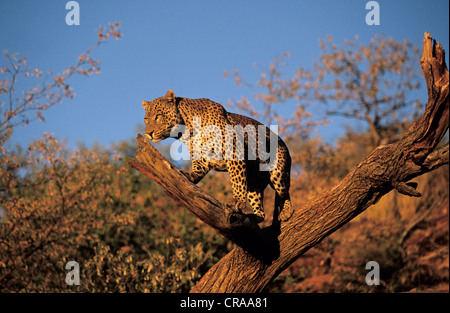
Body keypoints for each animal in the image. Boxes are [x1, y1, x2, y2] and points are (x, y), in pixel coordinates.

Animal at [142, 89, 294, 223]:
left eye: (158, 116)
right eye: (146, 119)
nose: (148, 133)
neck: (185, 130)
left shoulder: (234, 151)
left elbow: (237, 180)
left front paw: (237, 200)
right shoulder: (201, 157)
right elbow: (198, 171)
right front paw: (188, 175)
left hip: (278, 172)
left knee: (284, 192)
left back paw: (286, 212)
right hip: (254, 182)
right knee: (261, 210)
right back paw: (253, 217)